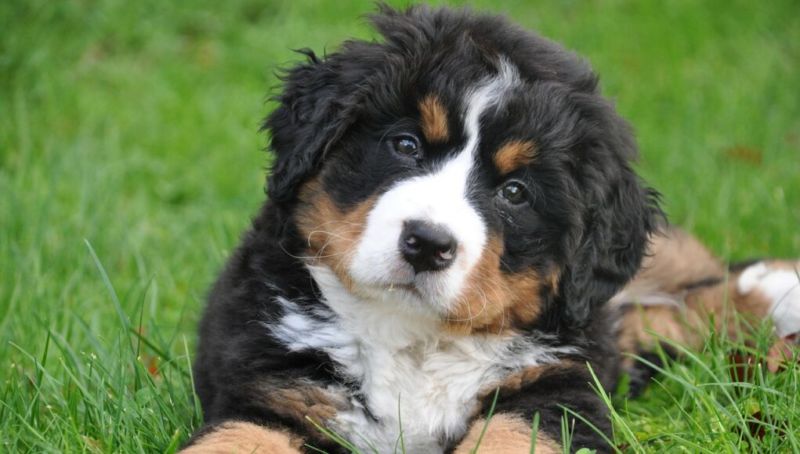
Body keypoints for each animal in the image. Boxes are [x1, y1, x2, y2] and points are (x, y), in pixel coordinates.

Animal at [184, 4, 796, 454]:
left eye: (515, 192)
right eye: (405, 144)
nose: (428, 244)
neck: (413, 340)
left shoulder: (555, 393)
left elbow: (507, 434)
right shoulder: (274, 389)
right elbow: (234, 440)